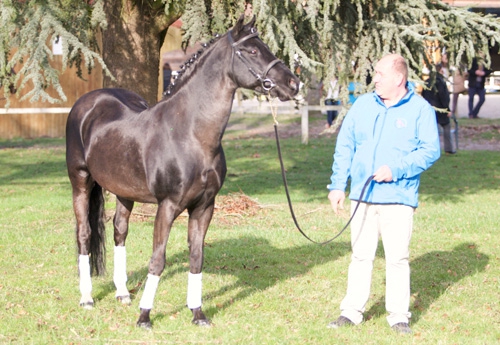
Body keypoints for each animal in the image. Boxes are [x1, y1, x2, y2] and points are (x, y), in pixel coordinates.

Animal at [64, 16, 298, 328]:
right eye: (251, 51)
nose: (293, 83)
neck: (190, 134)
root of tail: (88, 102)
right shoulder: (167, 206)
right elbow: (158, 259)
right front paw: (144, 317)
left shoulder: (204, 207)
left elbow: (196, 257)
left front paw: (198, 313)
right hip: (80, 181)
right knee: (84, 234)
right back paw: (87, 298)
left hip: (124, 192)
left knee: (119, 231)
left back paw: (123, 293)